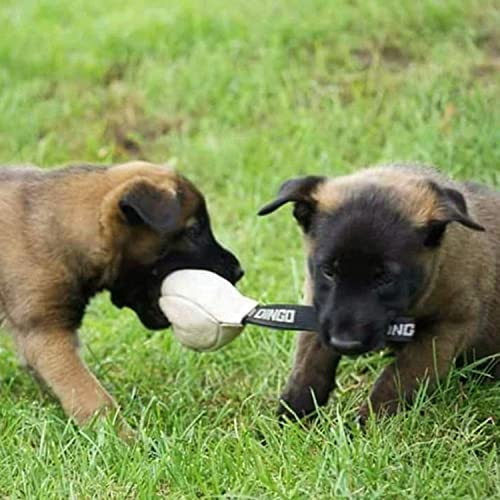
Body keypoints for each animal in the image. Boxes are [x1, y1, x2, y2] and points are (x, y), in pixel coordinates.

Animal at [259, 164, 500, 422]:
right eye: (329, 272)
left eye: (384, 279)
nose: (345, 344)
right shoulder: (318, 307)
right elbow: (308, 362)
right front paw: (293, 413)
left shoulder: (448, 326)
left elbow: (398, 376)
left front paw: (368, 422)